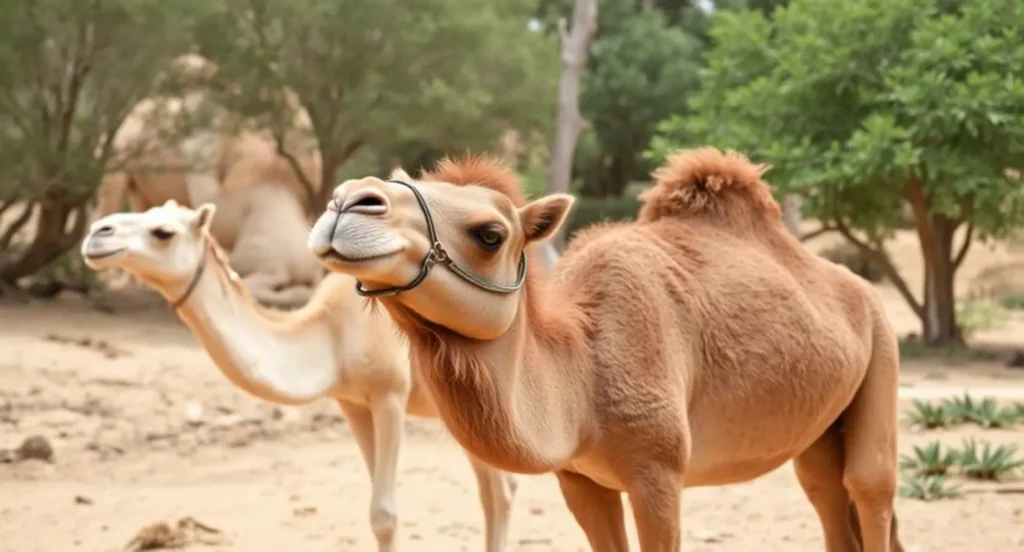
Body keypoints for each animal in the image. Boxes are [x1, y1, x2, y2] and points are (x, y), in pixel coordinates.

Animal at [79, 201, 517, 552]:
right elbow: (379, 514)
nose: (97, 233)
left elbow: (385, 513)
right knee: (497, 490)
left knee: (501, 488)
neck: (331, 332)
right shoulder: (352, 403)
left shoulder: (389, 394)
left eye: (163, 232)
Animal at [308, 148, 906, 551]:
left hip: (882, 348)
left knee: (869, 487)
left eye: (490, 234)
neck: (583, 375)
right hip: (820, 429)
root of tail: (859, 288)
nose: (348, 200)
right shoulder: (579, 480)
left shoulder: (659, 472)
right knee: (825, 492)